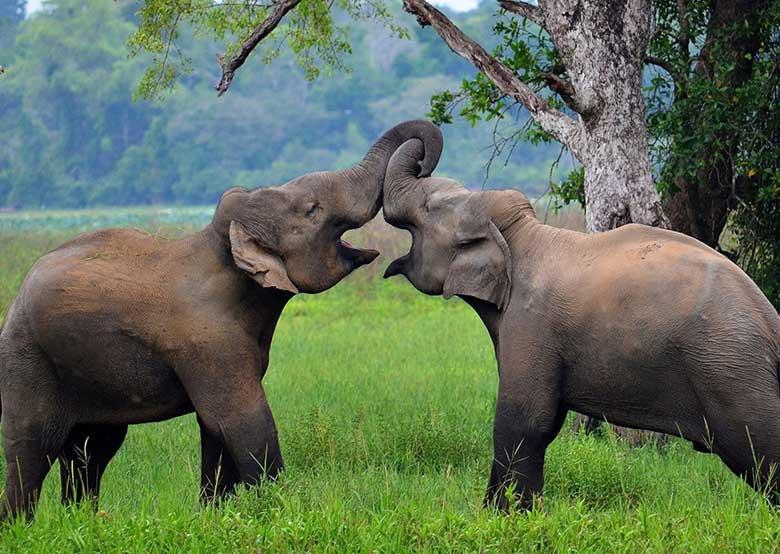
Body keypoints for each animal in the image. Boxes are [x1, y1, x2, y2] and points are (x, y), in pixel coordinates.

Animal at [0, 120, 444, 521]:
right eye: (312, 209)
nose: (422, 164)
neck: (225, 246)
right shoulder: (207, 341)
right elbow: (242, 422)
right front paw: (278, 513)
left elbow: (215, 430)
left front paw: (213, 516)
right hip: (27, 358)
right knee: (33, 447)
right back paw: (22, 524)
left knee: (92, 449)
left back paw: (83, 521)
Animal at [381, 138, 780, 510]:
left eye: (428, 208)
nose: (423, 159)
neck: (523, 236)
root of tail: (769, 318)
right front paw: (495, 513)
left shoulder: (532, 324)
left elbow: (526, 421)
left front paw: (510, 518)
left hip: (730, 370)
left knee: (758, 445)